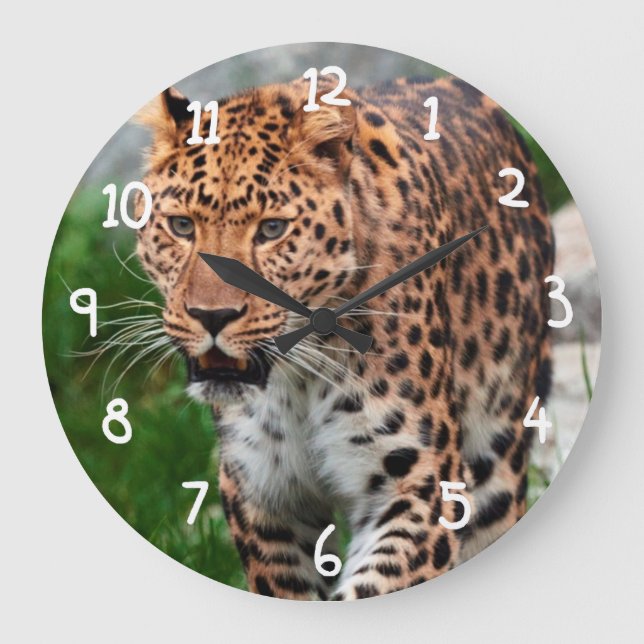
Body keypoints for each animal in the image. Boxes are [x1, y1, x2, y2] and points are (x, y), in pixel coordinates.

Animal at [134, 73, 553, 600]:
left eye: (272, 229)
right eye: (181, 226)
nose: (213, 316)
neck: (298, 376)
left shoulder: (418, 481)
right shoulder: (263, 492)